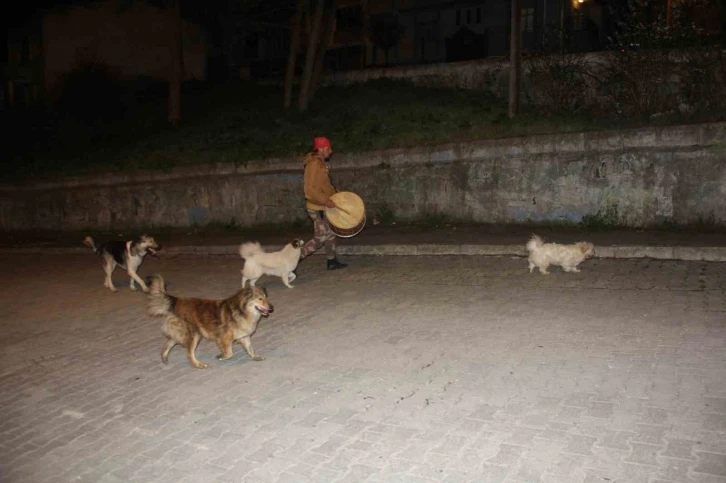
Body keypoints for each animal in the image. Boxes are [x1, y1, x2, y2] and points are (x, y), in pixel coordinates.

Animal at [146, 276, 274, 370]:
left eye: (266, 297)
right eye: (260, 299)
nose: (272, 308)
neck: (242, 310)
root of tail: (176, 300)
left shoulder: (244, 336)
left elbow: (250, 348)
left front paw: (255, 357)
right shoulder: (224, 337)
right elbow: (229, 352)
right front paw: (221, 356)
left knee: (169, 342)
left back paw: (164, 357)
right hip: (194, 335)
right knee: (188, 353)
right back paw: (198, 364)